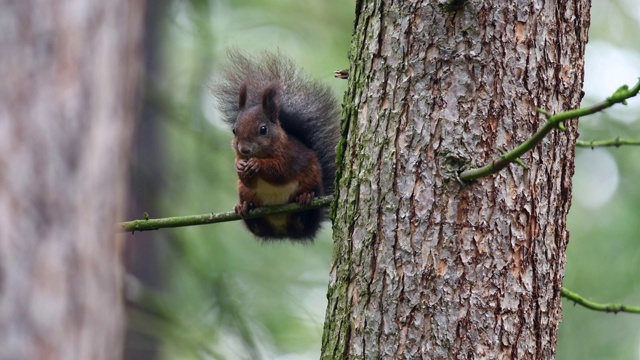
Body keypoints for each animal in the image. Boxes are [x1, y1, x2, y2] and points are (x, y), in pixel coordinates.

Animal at [212, 50, 340, 240]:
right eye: (234, 130)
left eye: (263, 129)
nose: (244, 149)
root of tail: (282, 231)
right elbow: (247, 179)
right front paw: (240, 166)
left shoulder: (290, 156)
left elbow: (280, 171)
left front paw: (257, 164)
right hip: (245, 193)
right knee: (257, 226)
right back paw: (244, 208)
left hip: (312, 180)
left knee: (304, 219)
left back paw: (305, 199)